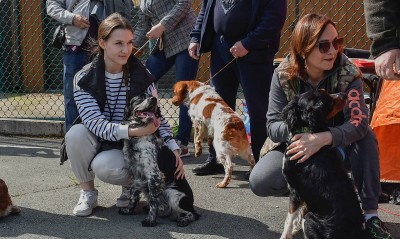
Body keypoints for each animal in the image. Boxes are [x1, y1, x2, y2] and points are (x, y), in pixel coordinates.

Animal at [119, 93, 199, 226]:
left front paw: (150, 220)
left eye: (151, 96)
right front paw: (129, 210)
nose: (154, 99)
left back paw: (183, 219)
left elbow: (153, 201)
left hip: (172, 193)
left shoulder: (154, 174)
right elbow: (133, 194)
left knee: (193, 214)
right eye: (140, 97)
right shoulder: (136, 174)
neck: (138, 137)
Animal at [280, 90, 368, 239]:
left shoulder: (295, 191)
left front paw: (286, 234)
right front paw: (294, 229)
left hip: (310, 219)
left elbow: (289, 219)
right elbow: (298, 214)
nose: (344, 94)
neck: (307, 130)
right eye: (329, 99)